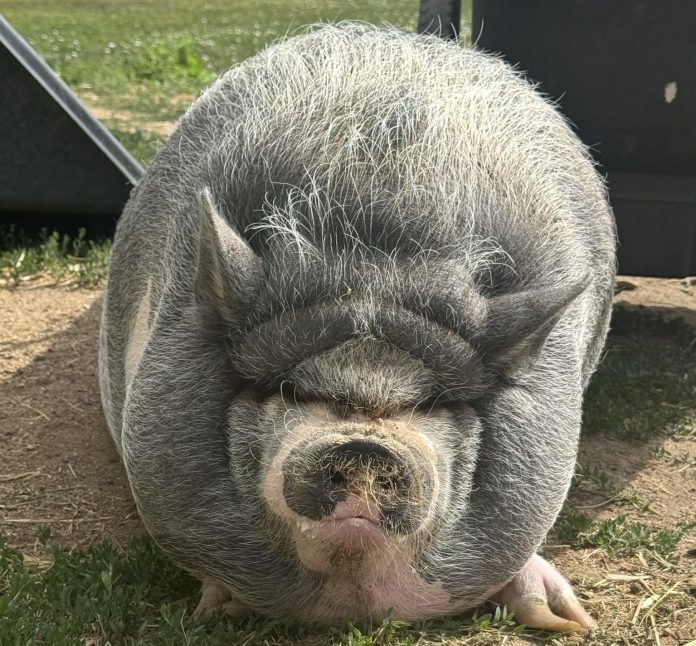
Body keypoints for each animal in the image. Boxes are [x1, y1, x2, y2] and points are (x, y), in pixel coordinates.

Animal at [99, 23, 615, 632]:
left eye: (434, 405)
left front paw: (573, 623)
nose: (366, 448)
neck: (376, 261)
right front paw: (214, 607)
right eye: (288, 391)